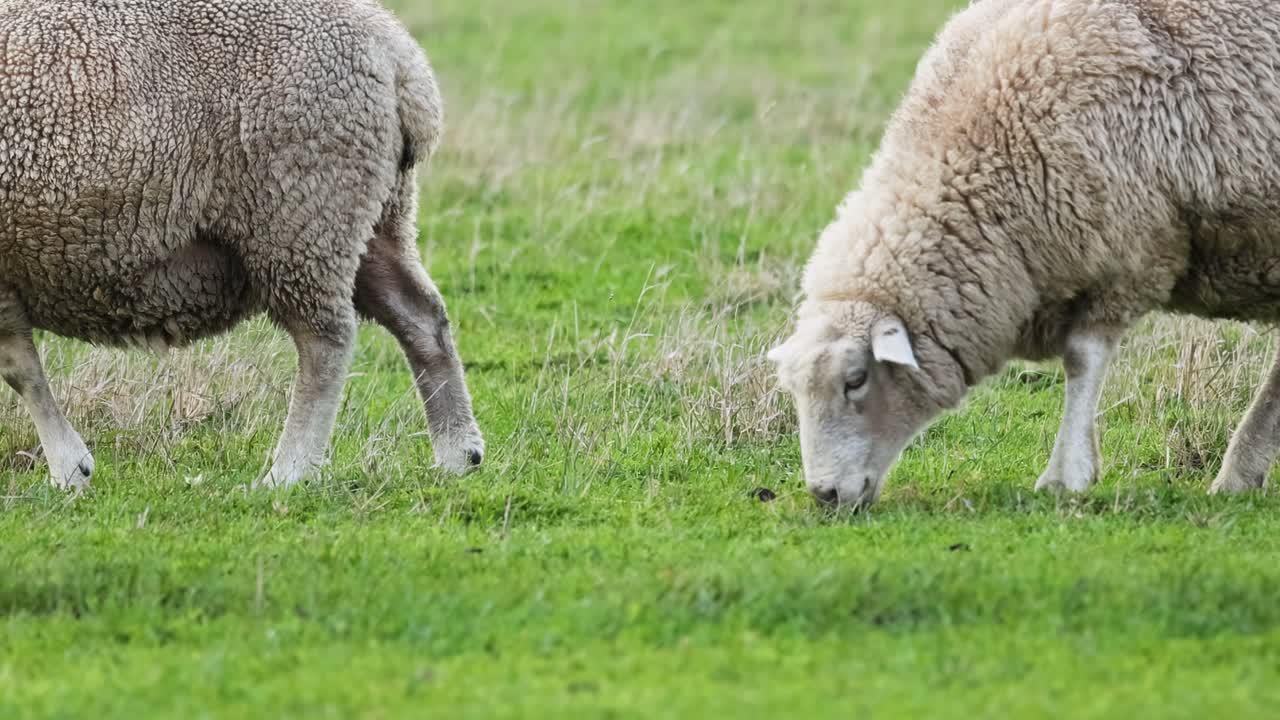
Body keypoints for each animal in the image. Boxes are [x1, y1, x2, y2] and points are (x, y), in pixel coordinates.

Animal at [0, 0, 484, 490]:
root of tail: (398, 57)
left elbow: (20, 370)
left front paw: (69, 467)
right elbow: (20, 367)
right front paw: (71, 466)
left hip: (302, 212)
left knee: (326, 342)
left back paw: (289, 470)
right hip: (370, 216)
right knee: (421, 317)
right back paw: (458, 453)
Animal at [768, 0, 1280, 507]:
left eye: (855, 380)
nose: (825, 493)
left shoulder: (1132, 255)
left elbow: (1082, 359)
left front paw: (1066, 474)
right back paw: (1240, 474)